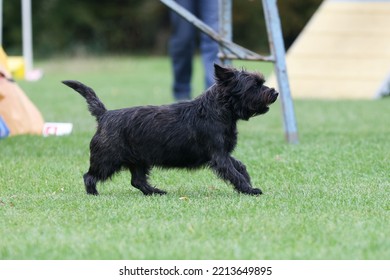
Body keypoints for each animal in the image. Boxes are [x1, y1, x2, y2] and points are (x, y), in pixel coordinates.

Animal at [62, 65, 278, 197]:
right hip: (107, 160)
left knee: (137, 181)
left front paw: (247, 182)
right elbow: (233, 172)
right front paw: (248, 189)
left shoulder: (223, 152)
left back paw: (155, 192)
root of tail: (105, 115)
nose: (274, 92)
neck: (218, 109)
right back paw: (94, 194)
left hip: (138, 160)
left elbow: (240, 166)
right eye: (254, 85)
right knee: (89, 176)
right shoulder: (218, 155)